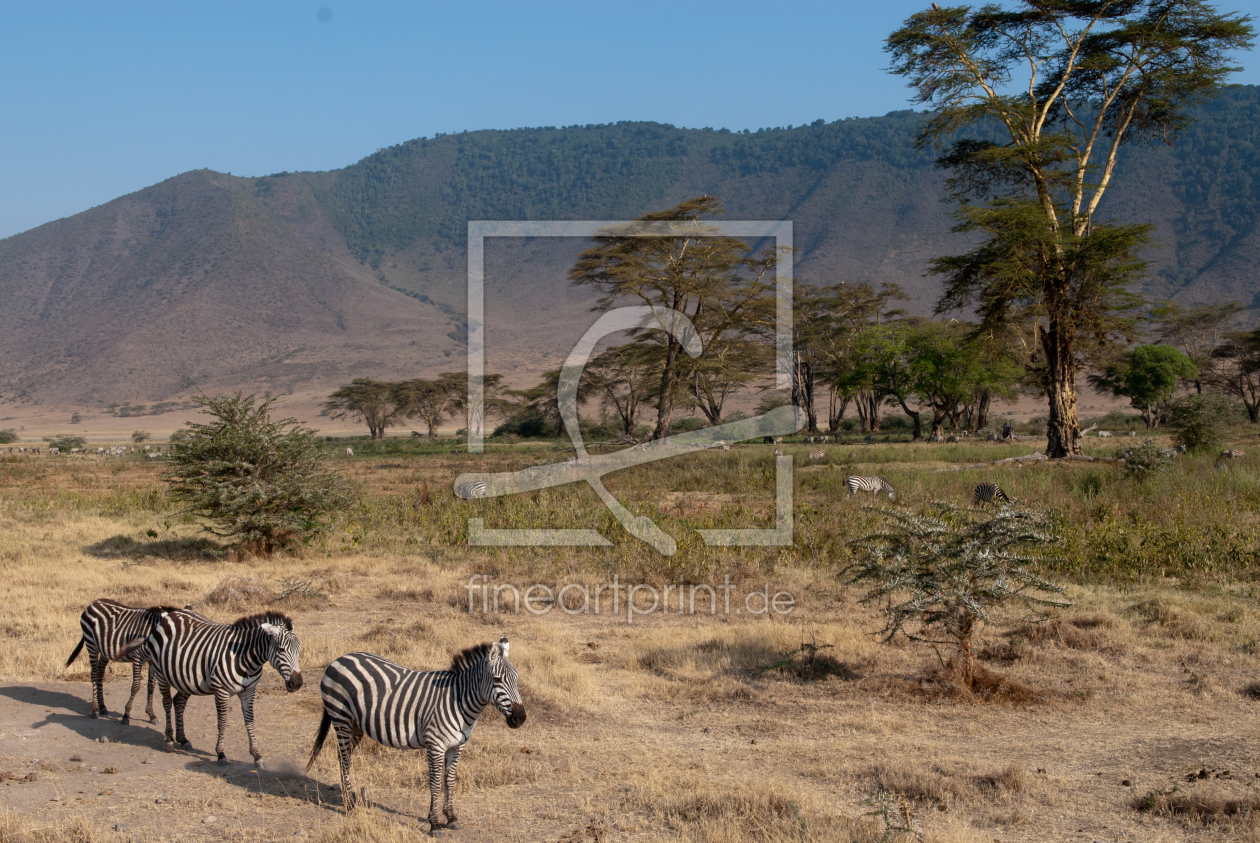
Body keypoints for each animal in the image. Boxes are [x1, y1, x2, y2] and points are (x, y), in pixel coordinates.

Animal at [66, 597, 206, 725]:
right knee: (94, 674)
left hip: (105, 650)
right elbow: (136, 685)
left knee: (100, 673)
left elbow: (151, 686)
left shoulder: (152, 661)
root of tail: (93, 603)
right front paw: (126, 715)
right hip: (91, 644)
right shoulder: (138, 657)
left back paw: (102, 707)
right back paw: (95, 709)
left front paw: (151, 715)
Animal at [144, 607, 301, 766]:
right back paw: (169, 740)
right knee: (167, 702)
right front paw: (221, 753)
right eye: (281, 649)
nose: (297, 683)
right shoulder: (221, 691)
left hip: (186, 679)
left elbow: (249, 720)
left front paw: (257, 755)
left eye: (299, 649)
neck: (245, 659)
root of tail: (171, 614)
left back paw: (183, 739)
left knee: (178, 702)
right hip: (161, 672)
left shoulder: (249, 691)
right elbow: (222, 722)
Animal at [309, 637, 526, 826]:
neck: (458, 701)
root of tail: (340, 659)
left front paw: (451, 817)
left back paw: (349, 800)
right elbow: (436, 782)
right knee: (344, 758)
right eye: (497, 680)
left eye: (516, 678)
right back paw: (349, 805)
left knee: (343, 756)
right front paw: (435, 823)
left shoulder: (456, 746)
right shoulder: (435, 745)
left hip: (355, 725)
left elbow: (450, 780)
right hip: (341, 719)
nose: (520, 718)